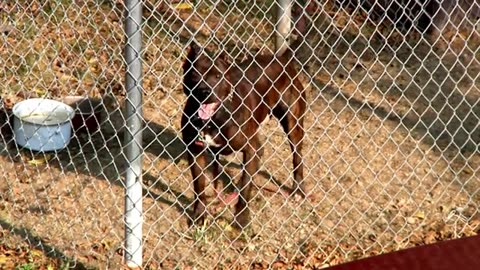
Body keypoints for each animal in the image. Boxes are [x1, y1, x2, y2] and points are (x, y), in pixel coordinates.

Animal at [180, 42, 308, 230]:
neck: (214, 119)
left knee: (297, 155)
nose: (204, 91)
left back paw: (298, 189)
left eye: (217, 75)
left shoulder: (251, 151)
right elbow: (199, 186)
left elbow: (245, 188)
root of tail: (282, 59)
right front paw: (199, 215)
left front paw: (241, 220)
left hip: (293, 124)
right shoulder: (195, 151)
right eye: (194, 74)